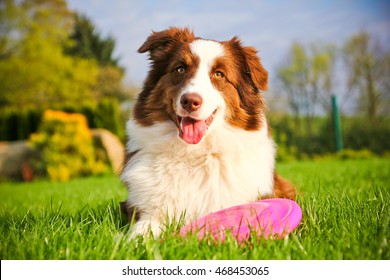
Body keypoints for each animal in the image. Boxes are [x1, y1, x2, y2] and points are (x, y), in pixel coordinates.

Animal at [120, 26, 294, 237]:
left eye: (219, 74)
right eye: (180, 69)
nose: (190, 101)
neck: (195, 154)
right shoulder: (149, 210)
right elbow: (142, 232)